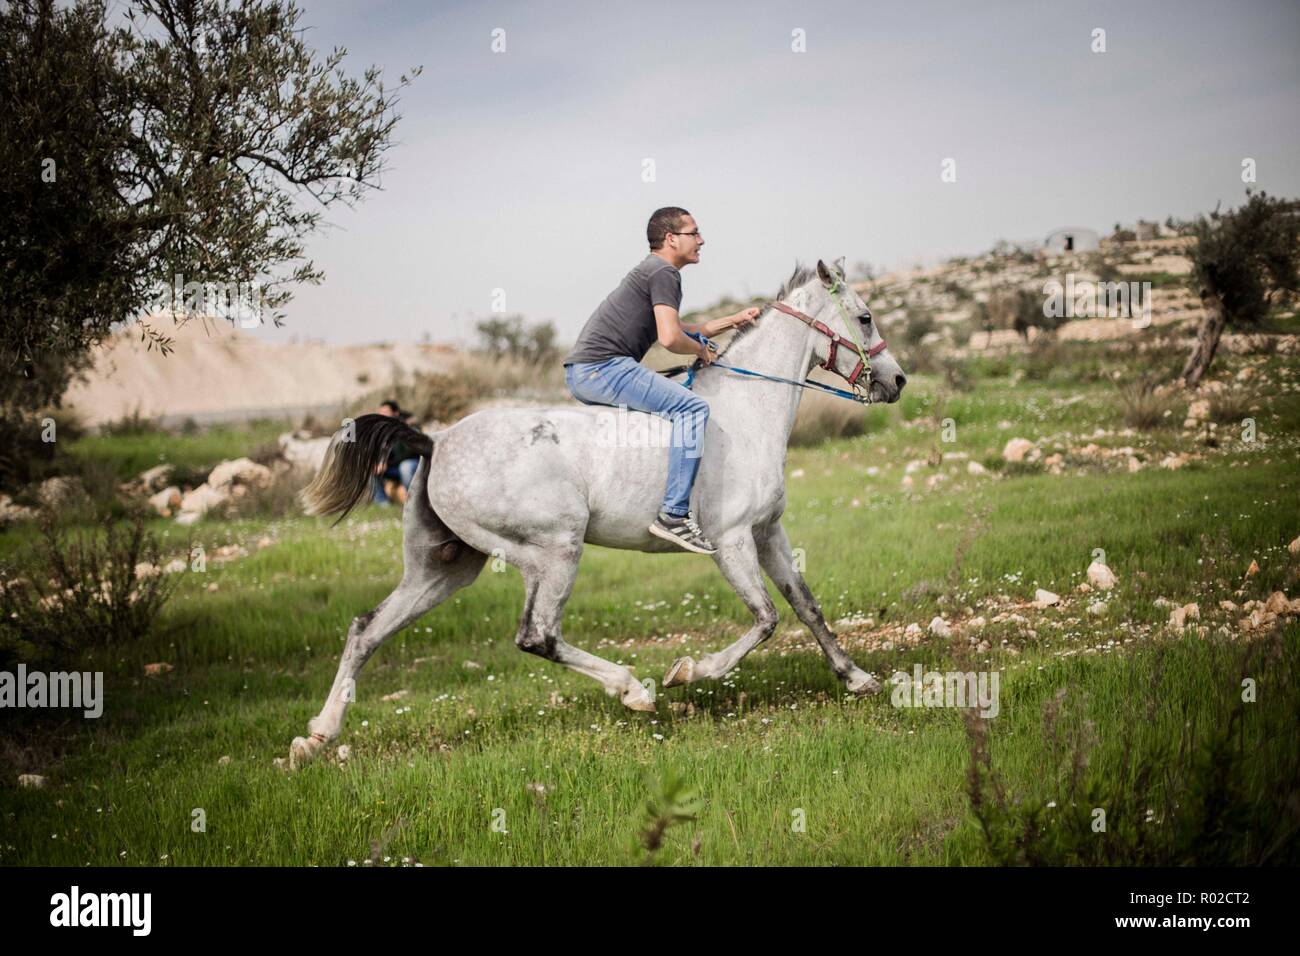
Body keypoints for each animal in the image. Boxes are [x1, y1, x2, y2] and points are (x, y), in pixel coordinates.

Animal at [292, 260, 904, 770]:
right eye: (866, 316)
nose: (897, 381)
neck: (746, 411)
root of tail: (436, 440)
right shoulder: (731, 540)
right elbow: (765, 619)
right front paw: (688, 671)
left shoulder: (769, 532)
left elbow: (807, 606)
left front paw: (859, 679)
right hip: (552, 550)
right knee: (536, 634)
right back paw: (635, 689)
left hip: (444, 566)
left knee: (367, 629)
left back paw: (317, 736)